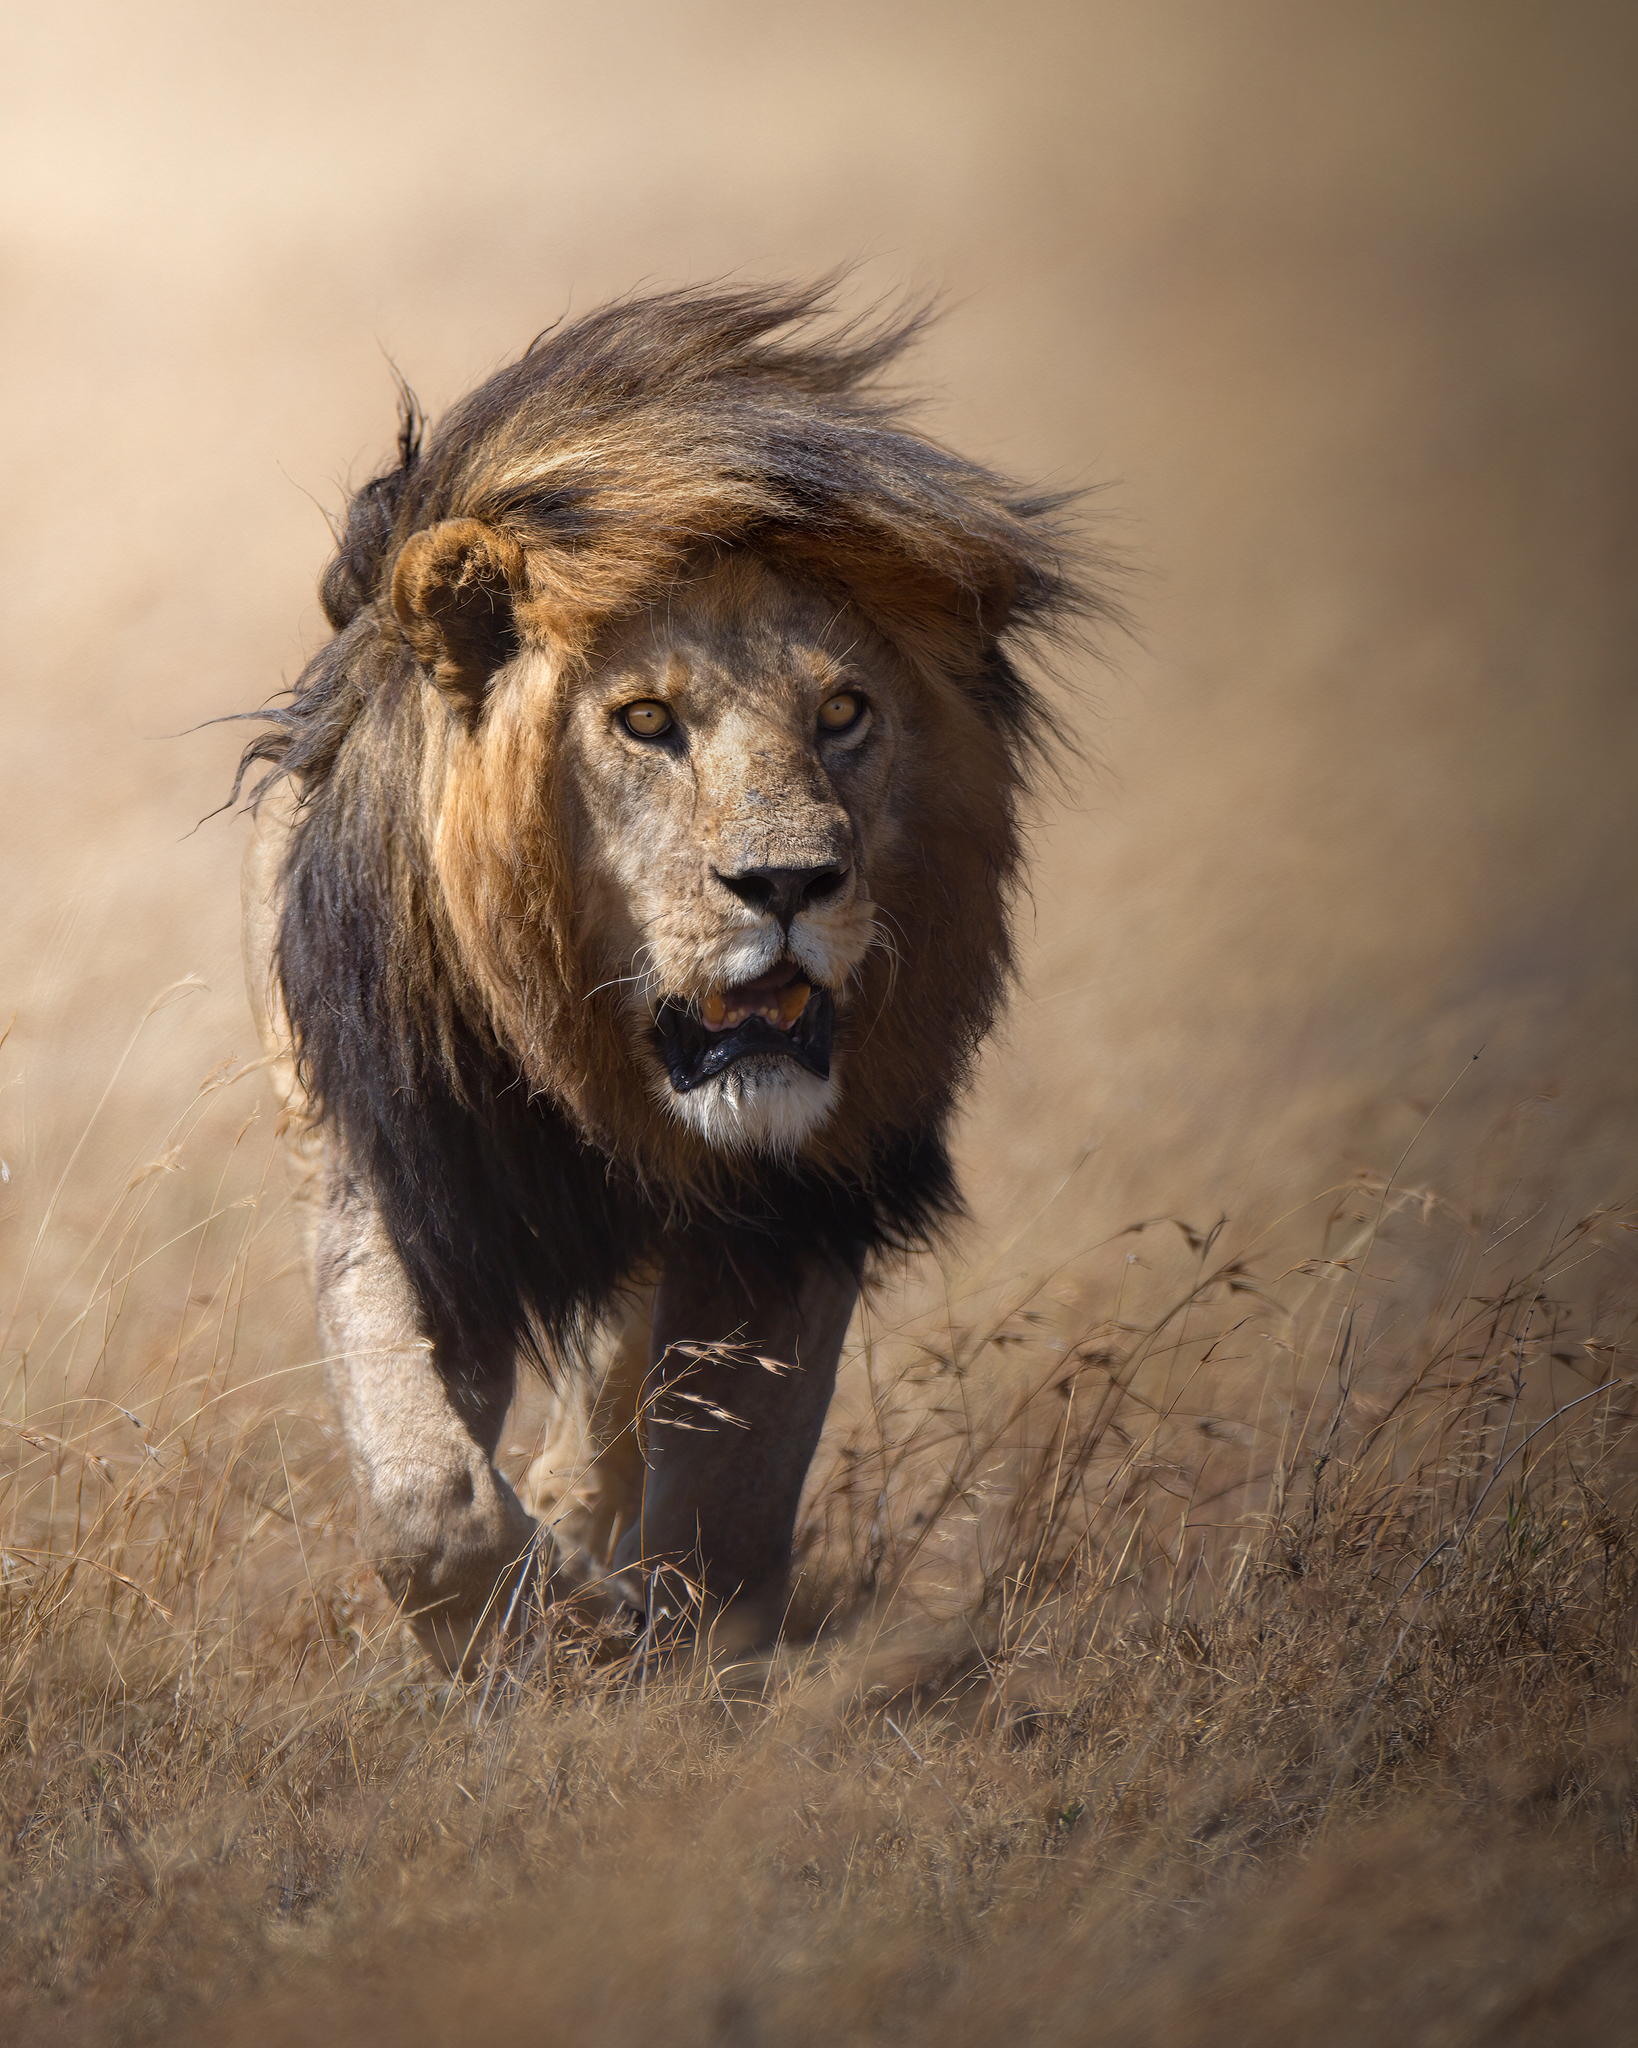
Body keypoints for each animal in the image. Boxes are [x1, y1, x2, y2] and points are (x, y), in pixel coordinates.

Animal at [237, 282, 1104, 1672]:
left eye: (844, 712)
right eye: (645, 721)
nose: (790, 882)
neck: (581, 1050)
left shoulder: (803, 1201)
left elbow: (729, 1514)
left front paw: (654, 1641)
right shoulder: (398, 1168)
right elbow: (426, 1496)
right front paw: (548, 1620)